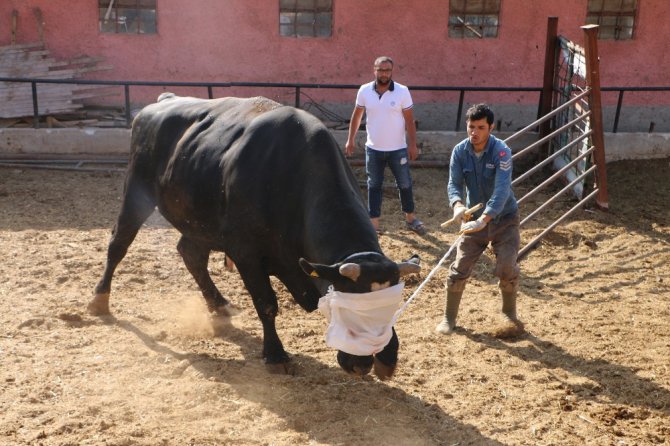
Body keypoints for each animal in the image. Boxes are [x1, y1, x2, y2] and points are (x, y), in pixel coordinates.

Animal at [89, 94, 420, 380]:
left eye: (388, 306)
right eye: (347, 310)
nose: (361, 363)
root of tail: (160, 102)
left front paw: (388, 358)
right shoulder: (246, 253)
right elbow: (266, 304)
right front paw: (274, 354)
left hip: (200, 221)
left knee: (190, 254)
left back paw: (219, 304)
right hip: (136, 192)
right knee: (118, 245)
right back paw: (100, 300)